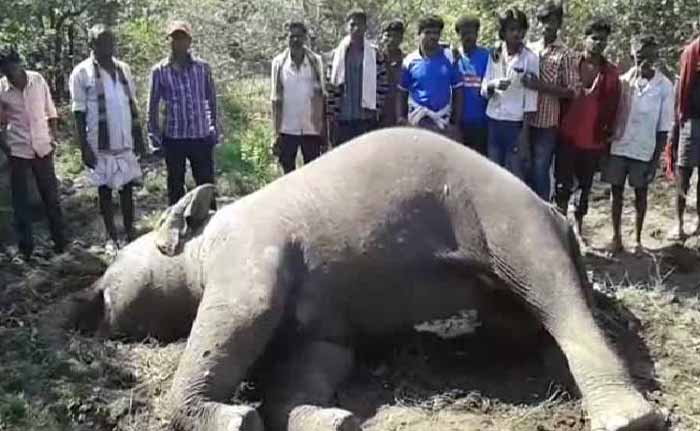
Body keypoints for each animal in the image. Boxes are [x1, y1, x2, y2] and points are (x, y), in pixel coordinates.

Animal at [67, 128, 663, 431]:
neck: (205, 238)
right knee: (515, 321)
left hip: (510, 220)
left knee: (553, 293)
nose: (80, 304)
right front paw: (334, 420)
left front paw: (236, 419)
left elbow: (241, 317)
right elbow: (323, 356)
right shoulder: (321, 318)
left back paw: (628, 419)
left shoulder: (250, 252)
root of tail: (555, 212)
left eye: (112, 267)